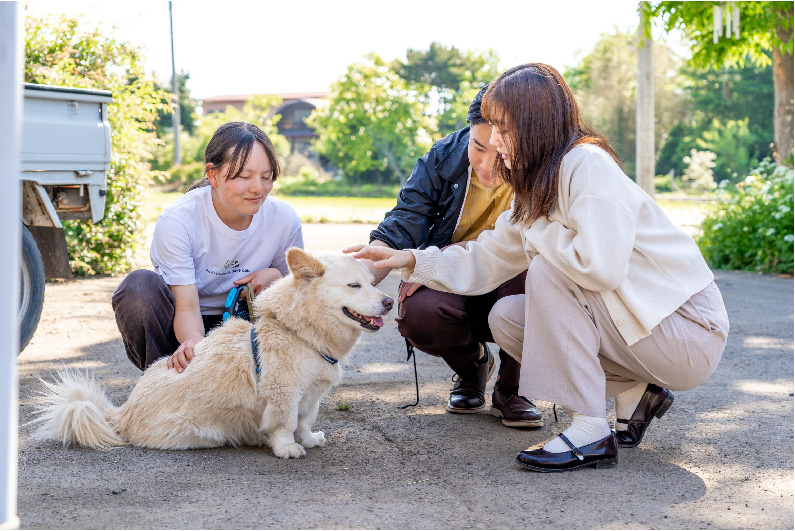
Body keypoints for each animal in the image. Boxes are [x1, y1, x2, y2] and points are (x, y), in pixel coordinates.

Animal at [34, 249, 394, 458]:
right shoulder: (284, 394)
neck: (299, 331)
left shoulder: (311, 395)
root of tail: (121, 414)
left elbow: (305, 422)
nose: (390, 302)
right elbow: (285, 423)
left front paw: (308, 439)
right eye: (353, 286)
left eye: (371, 282)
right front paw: (286, 448)